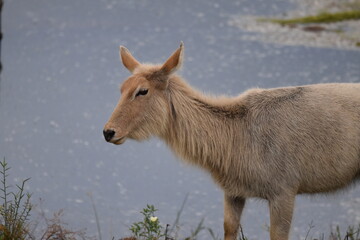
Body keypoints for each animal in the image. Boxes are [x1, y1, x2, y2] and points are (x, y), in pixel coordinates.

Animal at [103, 43, 360, 240]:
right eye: (122, 88)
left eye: (142, 90)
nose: (108, 132)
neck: (233, 142)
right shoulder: (233, 192)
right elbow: (229, 229)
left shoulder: (285, 189)